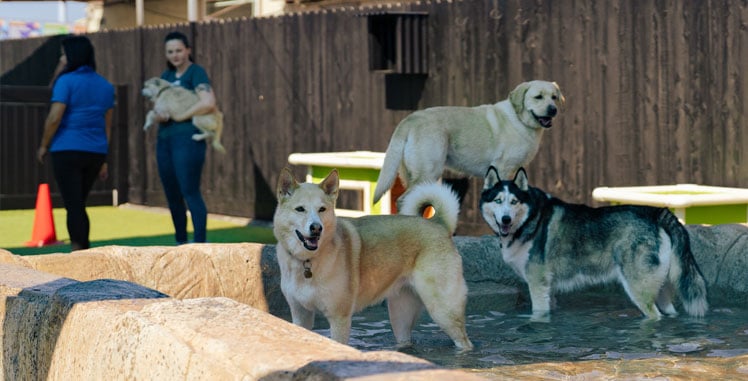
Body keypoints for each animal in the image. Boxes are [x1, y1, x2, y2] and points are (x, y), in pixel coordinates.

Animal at [274, 168, 474, 352]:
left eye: (322, 209)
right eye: (300, 209)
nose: (316, 228)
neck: (307, 261)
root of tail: (438, 223)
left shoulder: (339, 317)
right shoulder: (301, 315)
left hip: (443, 310)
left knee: (465, 342)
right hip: (400, 315)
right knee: (405, 340)